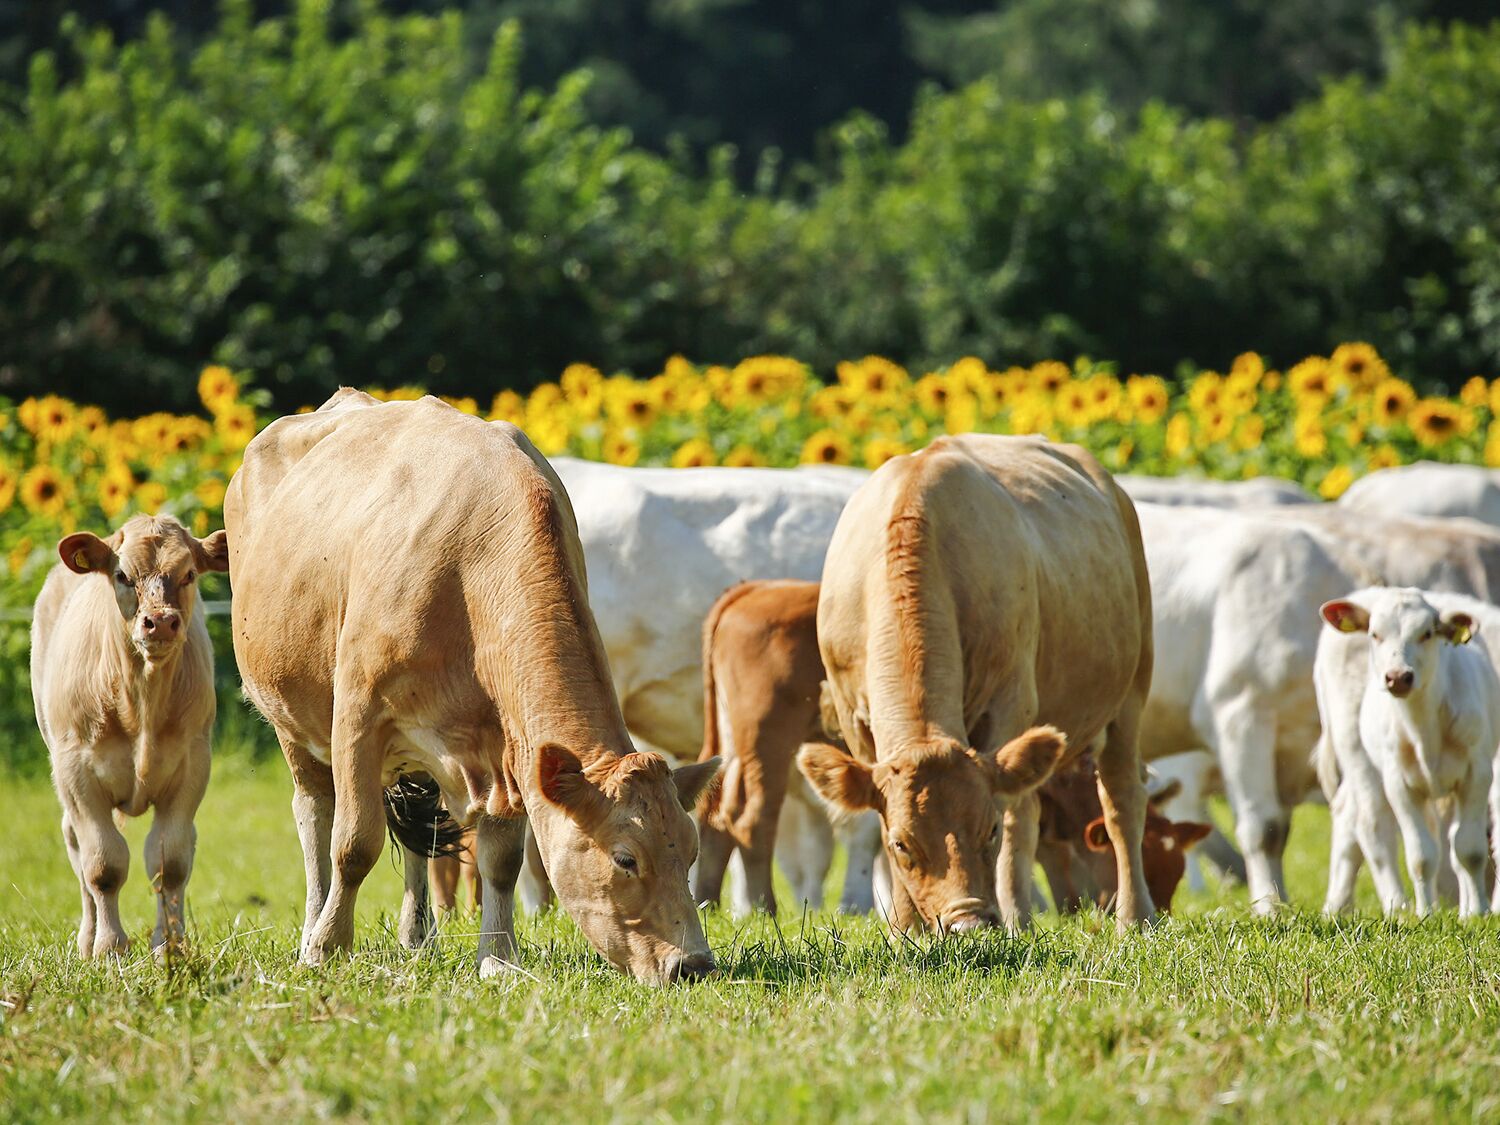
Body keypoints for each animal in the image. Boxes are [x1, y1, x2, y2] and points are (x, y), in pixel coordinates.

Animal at [31, 514, 228, 957]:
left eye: (189, 574)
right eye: (123, 575)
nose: (161, 621)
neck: (140, 701)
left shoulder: (192, 767)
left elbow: (169, 863)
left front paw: (170, 945)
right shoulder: (76, 771)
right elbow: (103, 865)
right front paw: (108, 947)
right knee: (75, 844)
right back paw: (87, 939)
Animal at [225, 390, 721, 983]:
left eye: (690, 852)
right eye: (625, 858)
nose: (693, 964)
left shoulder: (508, 746)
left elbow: (500, 860)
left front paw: (499, 959)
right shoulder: (358, 715)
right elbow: (355, 842)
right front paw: (327, 948)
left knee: (418, 829)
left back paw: (417, 937)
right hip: (290, 719)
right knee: (315, 818)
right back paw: (312, 926)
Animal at [798, 434, 1156, 933]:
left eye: (986, 830)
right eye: (903, 843)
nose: (967, 922)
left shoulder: (1010, 702)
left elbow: (1013, 820)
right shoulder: (854, 718)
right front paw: (905, 930)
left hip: (1131, 689)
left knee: (1119, 799)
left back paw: (1128, 917)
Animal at [1316, 588, 1500, 917]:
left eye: (1427, 633)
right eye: (1375, 634)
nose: (1398, 677)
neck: (1424, 727)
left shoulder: (1477, 774)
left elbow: (1469, 848)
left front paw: (1477, 912)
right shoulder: (1399, 783)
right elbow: (1421, 855)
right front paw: (1425, 914)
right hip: (1357, 754)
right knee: (1373, 827)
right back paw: (1397, 908)